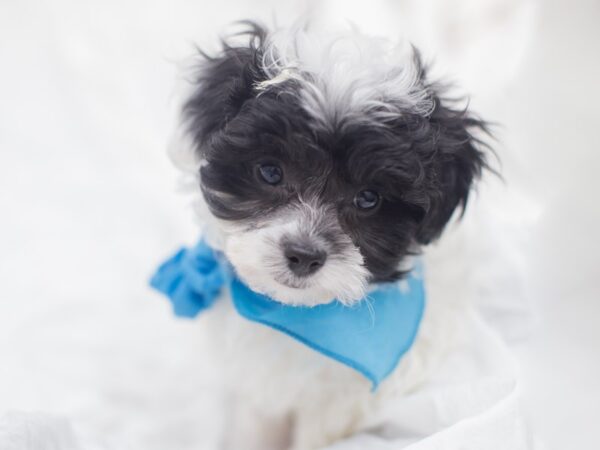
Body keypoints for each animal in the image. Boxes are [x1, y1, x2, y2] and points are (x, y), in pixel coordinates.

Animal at [171, 21, 490, 450]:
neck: (297, 318)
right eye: (270, 172)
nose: (303, 256)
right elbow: (255, 421)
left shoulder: (342, 404)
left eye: (368, 198)